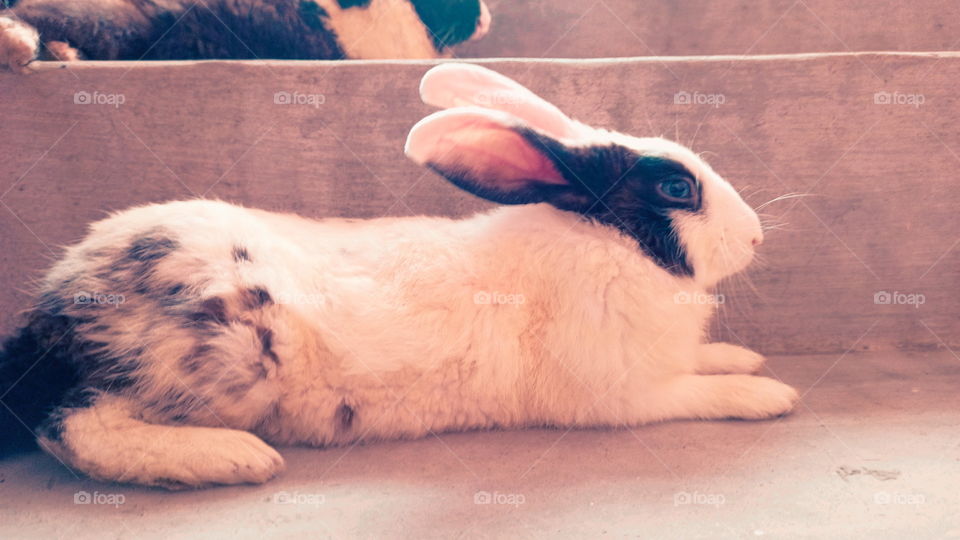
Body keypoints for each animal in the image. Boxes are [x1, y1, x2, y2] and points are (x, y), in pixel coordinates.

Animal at [0, 63, 798, 488]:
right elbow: (696, 393)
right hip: (228, 353)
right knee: (70, 424)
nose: (757, 235)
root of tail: (57, 305)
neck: (609, 244)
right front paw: (768, 394)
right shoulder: (627, 393)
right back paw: (235, 459)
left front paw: (742, 355)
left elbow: (704, 360)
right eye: (677, 190)